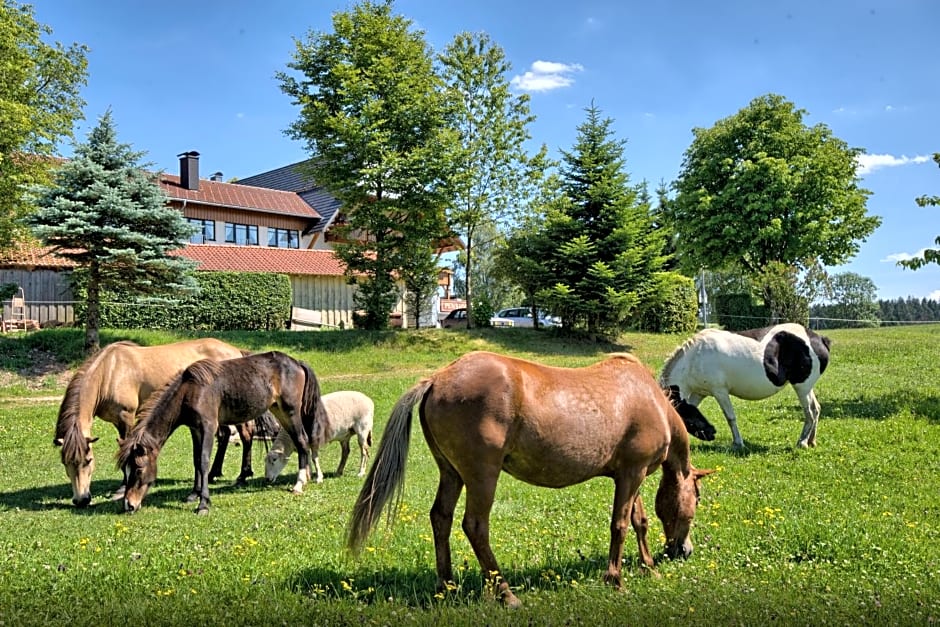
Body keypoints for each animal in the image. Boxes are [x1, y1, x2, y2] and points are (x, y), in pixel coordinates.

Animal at [54, 338, 260, 510]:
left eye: (89, 460)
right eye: (65, 462)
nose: (81, 499)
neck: (110, 372)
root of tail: (235, 350)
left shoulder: (126, 417)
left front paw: (121, 489)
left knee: (246, 435)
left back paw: (242, 476)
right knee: (224, 435)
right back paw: (213, 474)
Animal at [116, 354, 330, 516]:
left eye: (138, 469)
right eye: (125, 470)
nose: (129, 505)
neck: (190, 390)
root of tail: (297, 363)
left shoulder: (209, 427)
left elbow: (204, 461)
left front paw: (203, 503)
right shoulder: (195, 429)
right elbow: (196, 460)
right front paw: (194, 494)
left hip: (291, 411)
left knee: (302, 440)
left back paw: (299, 484)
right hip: (279, 410)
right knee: (299, 442)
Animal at [348, 354, 716, 608]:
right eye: (697, 499)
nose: (683, 550)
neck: (650, 400)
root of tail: (437, 379)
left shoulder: (629, 474)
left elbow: (639, 521)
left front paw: (648, 567)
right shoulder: (632, 473)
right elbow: (621, 525)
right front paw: (616, 579)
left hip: (451, 473)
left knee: (441, 517)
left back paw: (446, 585)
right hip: (482, 475)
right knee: (475, 526)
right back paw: (506, 593)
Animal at [656, 324, 832, 452]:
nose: (712, 432)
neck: (695, 358)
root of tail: (819, 339)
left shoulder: (720, 391)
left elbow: (730, 418)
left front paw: (738, 443)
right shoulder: (699, 393)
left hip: (802, 387)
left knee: (809, 413)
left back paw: (802, 442)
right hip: (806, 388)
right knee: (816, 409)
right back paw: (811, 441)